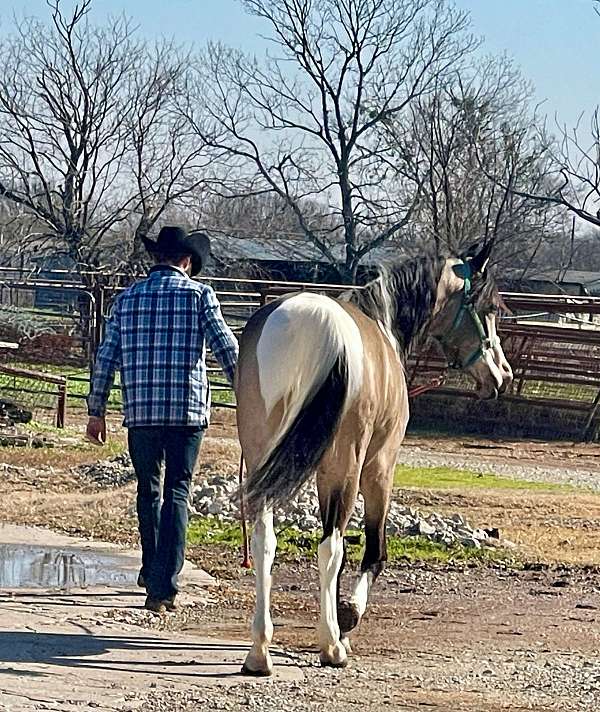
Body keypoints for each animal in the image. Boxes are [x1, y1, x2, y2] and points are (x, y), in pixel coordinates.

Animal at [233, 242, 510, 676]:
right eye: (491, 308)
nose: (502, 376)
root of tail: (308, 325)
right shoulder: (380, 467)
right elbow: (373, 551)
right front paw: (347, 618)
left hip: (264, 458)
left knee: (265, 542)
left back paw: (260, 651)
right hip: (346, 466)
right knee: (330, 547)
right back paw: (331, 647)